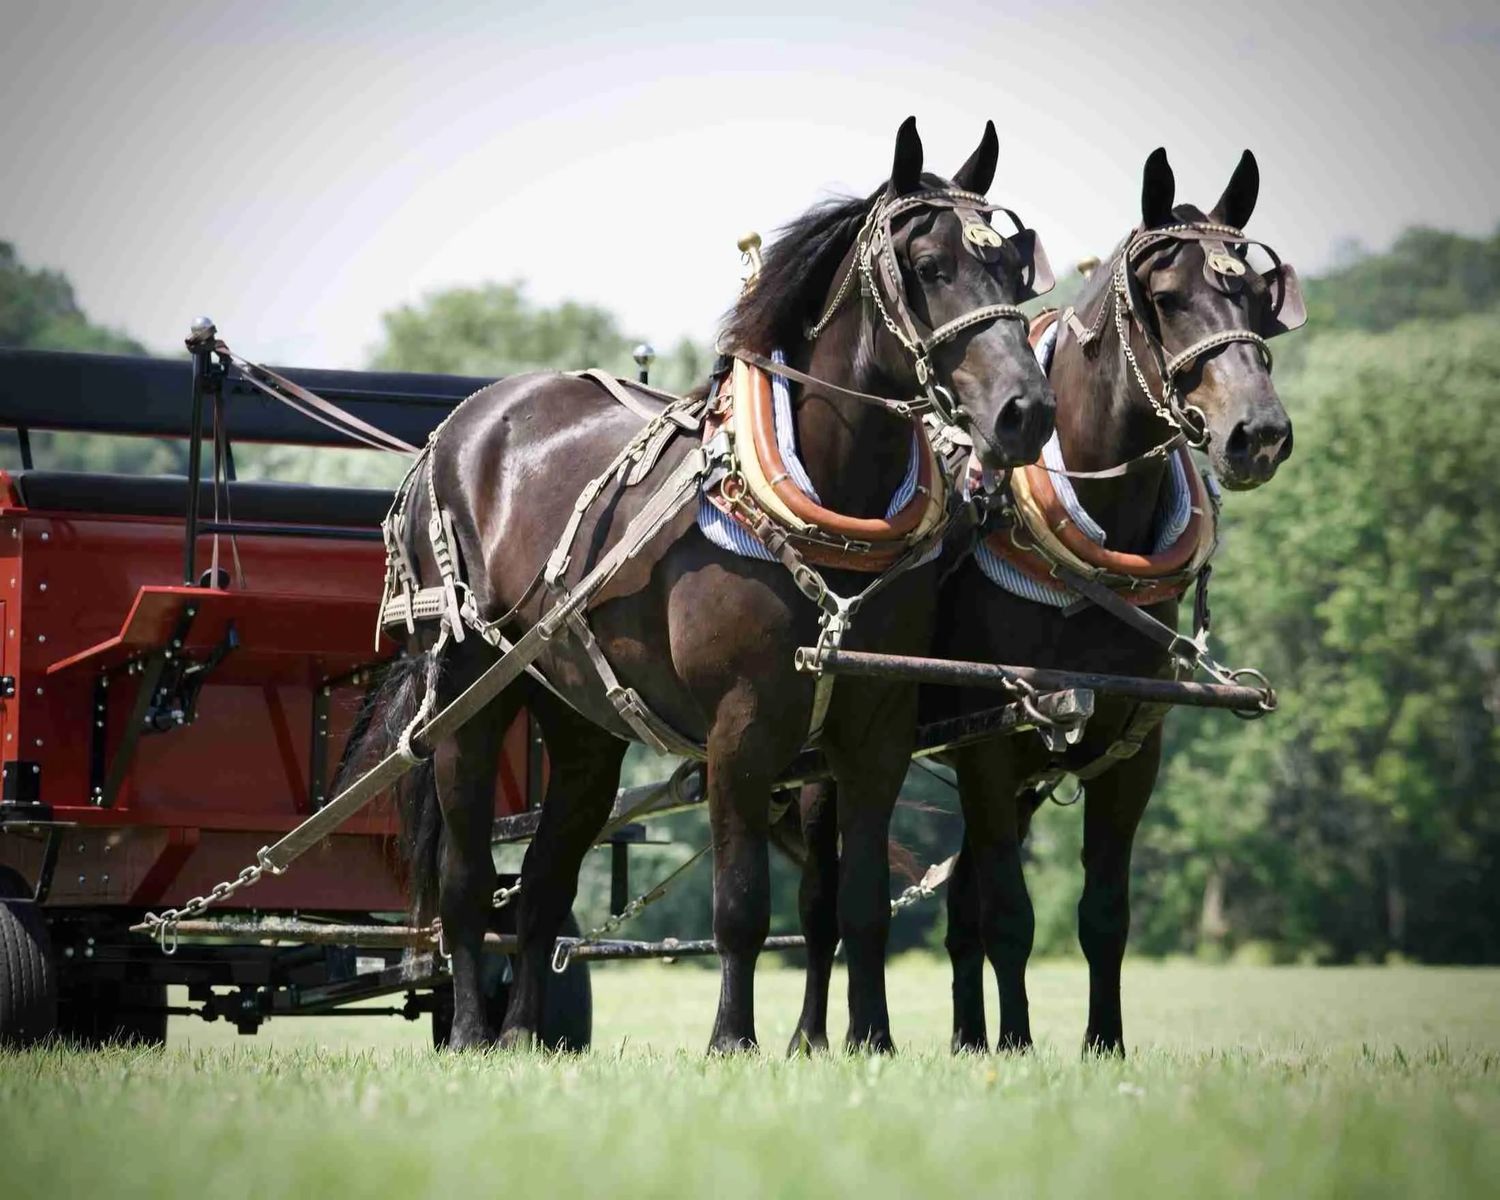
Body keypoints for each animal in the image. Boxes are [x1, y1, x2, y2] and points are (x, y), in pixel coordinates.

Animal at [357, 117, 1057, 1053]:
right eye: (929, 265)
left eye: (1015, 267)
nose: (1026, 413)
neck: (828, 501)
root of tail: (460, 428)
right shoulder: (741, 732)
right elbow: (741, 907)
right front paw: (733, 1040)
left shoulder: (877, 732)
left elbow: (863, 905)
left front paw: (870, 1041)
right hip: (469, 697)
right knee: (467, 877)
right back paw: (472, 1030)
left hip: (579, 722)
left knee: (542, 885)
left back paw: (525, 1038)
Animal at [791, 147, 1299, 1057]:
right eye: (1167, 298)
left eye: (1253, 297)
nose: (1259, 434)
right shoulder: (996, 750)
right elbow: (1011, 915)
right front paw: (1021, 1047)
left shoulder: (1130, 748)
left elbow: (1101, 915)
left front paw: (1101, 1046)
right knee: (822, 903)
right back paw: (814, 1036)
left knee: (957, 911)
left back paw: (965, 1038)